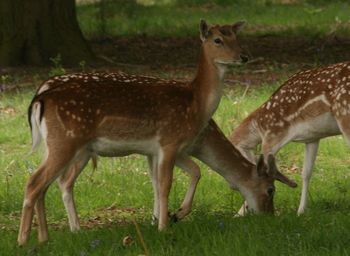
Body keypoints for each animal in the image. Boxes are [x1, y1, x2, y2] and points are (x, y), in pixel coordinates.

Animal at [17, 20, 249, 246]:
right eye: (218, 40)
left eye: (236, 37)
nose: (244, 56)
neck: (195, 103)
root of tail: (40, 98)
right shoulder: (169, 141)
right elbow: (165, 184)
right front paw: (164, 227)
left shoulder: (159, 150)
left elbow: (174, 178)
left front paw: (168, 217)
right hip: (65, 141)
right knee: (35, 182)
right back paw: (23, 240)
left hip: (64, 146)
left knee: (51, 183)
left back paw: (47, 237)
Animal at [230, 61, 350, 215]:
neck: (259, 126)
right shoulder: (312, 137)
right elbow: (306, 173)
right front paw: (301, 211)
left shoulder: (271, 137)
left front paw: (239, 214)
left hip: (344, 115)